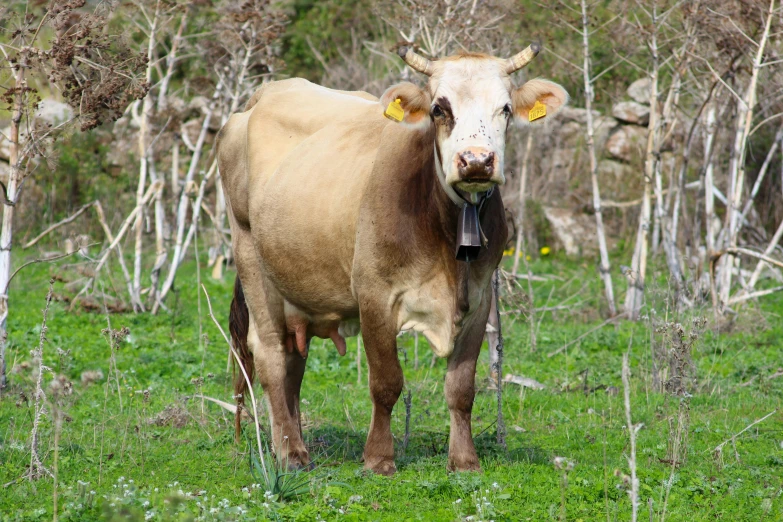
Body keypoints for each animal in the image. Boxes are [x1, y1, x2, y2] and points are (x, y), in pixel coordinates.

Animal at [217, 44, 568, 474]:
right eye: (439, 109)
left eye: (504, 108)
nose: (476, 161)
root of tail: (261, 97)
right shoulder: (375, 296)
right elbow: (386, 383)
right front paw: (379, 458)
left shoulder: (480, 298)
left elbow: (461, 387)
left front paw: (464, 460)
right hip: (249, 255)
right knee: (270, 355)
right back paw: (289, 452)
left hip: (296, 285)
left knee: (292, 363)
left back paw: (293, 441)